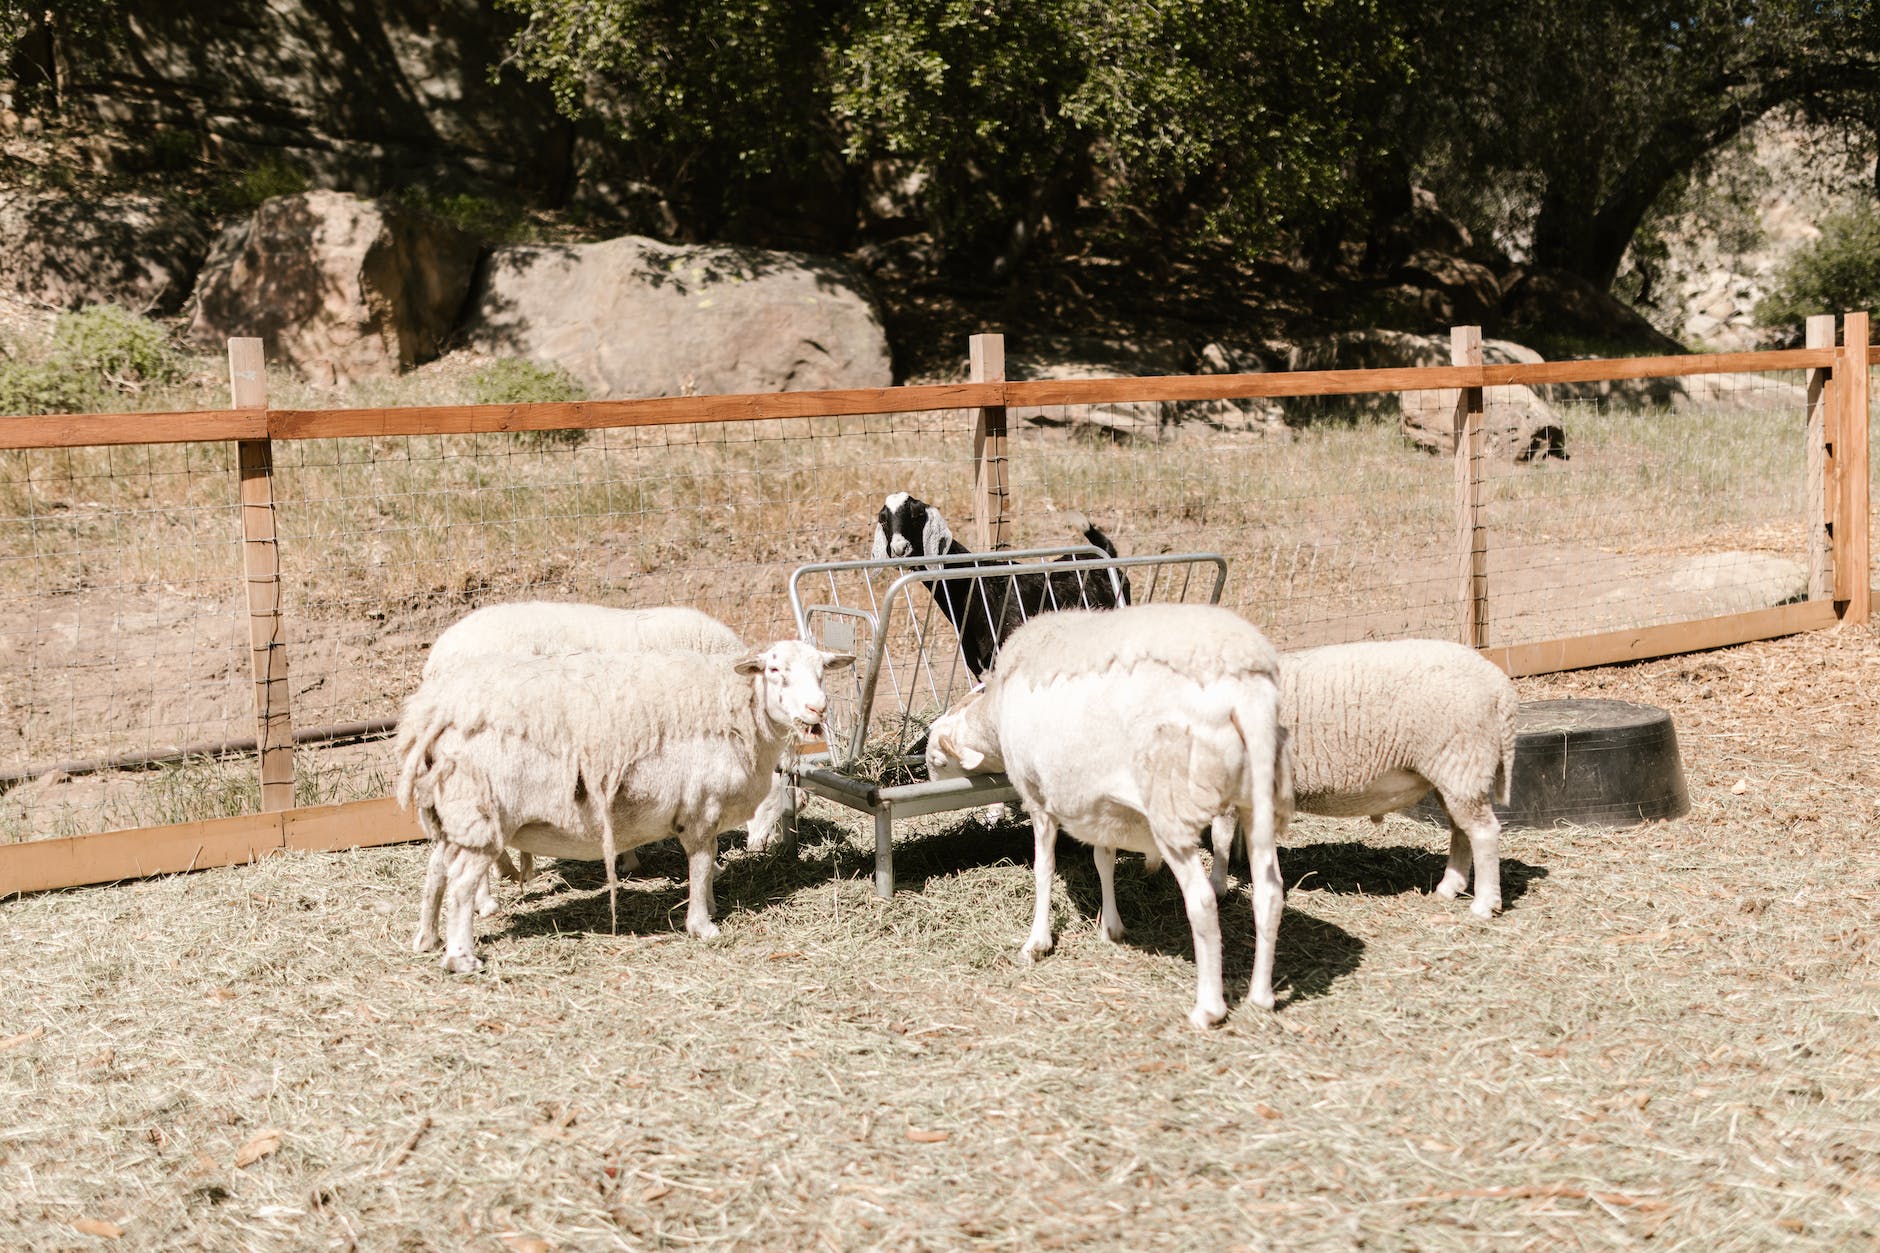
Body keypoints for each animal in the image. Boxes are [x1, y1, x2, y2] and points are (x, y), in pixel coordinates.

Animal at [404, 639, 861, 970]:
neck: (739, 713)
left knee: (435, 872)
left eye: (822, 672)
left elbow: (706, 866)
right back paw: (460, 957)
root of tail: (434, 719)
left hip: (456, 816)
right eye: (774, 670)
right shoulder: (700, 808)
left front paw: (711, 905)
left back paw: (426, 939)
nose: (817, 708)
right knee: (461, 884)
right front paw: (702, 924)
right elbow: (700, 863)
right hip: (480, 813)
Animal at [924, 602, 1293, 1023]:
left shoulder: (1040, 797)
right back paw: (1261, 996)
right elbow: (1103, 860)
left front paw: (1037, 942)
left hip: (1171, 804)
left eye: (937, 760)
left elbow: (1043, 868)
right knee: (1269, 891)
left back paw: (1209, 1008)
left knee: (1200, 901)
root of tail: (1244, 692)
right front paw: (1111, 927)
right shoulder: (1099, 802)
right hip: (1258, 797)